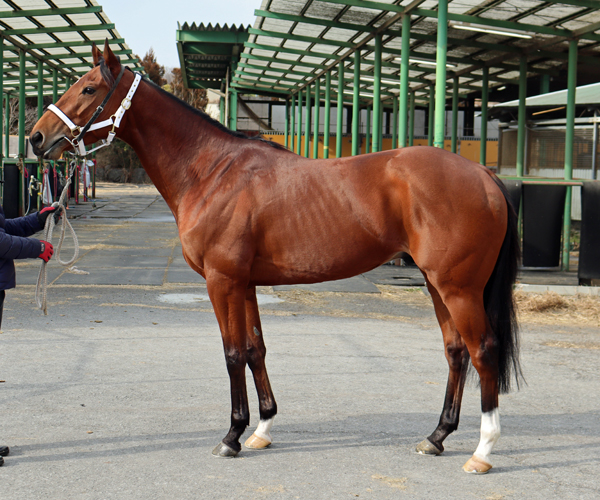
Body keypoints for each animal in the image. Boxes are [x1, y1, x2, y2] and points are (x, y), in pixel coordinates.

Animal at [30, 41, 522, 474]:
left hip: (459, 288)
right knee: (456, 352)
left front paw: (231, 436)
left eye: (89, 89)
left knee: (483, 351)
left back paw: (482, 452)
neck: (211, 171)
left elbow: (232, 353)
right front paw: (261, 429)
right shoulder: (245, 283)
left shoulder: (221, 281)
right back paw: (436, 436)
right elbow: (255, 350)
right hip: (437, 285)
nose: (37, 138)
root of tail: (483, 175)